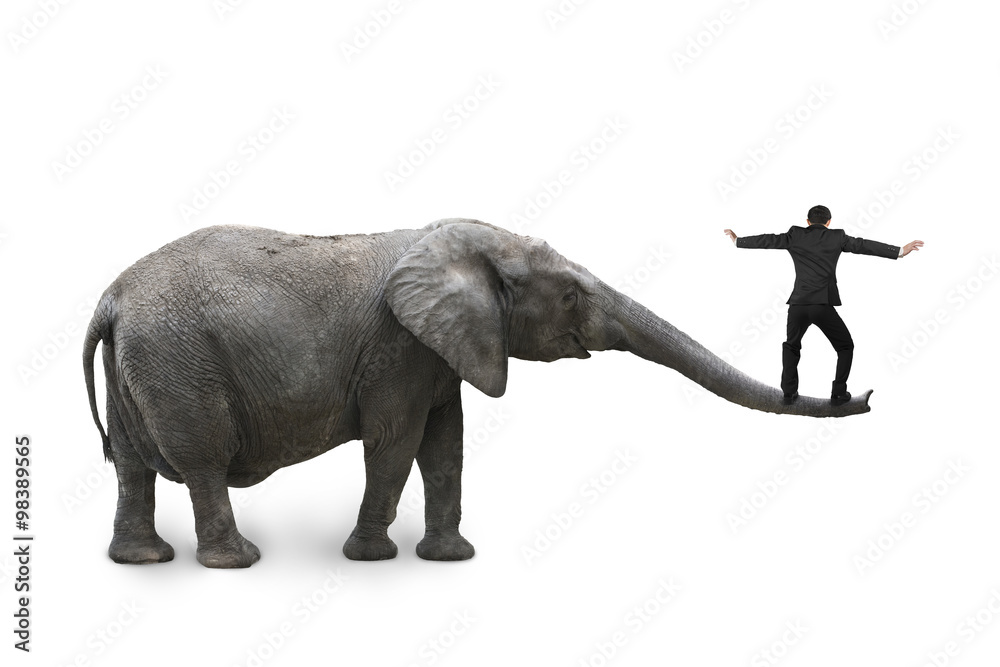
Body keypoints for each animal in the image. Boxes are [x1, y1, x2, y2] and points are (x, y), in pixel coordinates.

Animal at [83, 218, 871, 568]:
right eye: (571, 293)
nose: (860, 398)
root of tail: (110, 299)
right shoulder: (398, 346)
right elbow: (396, 441)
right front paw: (372, 561)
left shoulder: (439, 350)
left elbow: (446, 445)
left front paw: (451, 559)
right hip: (180, 362)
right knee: (203, 461)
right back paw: (237, 562)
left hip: (145, 364)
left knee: (131, 467)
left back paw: (142, 561)